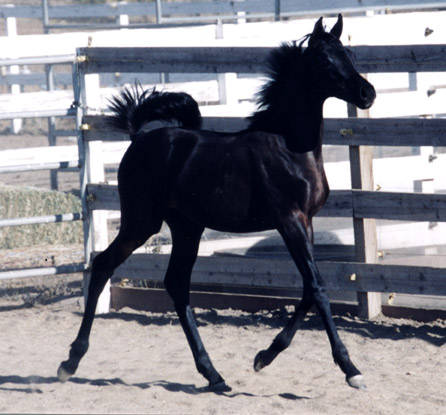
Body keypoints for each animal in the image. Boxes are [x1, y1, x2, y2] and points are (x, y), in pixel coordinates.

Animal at [57, 15, 374, 394]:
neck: (290, 147)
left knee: (176, 285)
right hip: (141, 222)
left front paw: (263, 357)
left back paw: (213, 374)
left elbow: (309, 290)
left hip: (187, 227)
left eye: (350, 55)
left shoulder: (306, 222)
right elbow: (319, 288)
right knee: (104, 264)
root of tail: (139, 137)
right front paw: (351, 369)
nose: (367, 94)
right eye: (325, 61)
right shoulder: (289, 221)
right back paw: (70, 362)